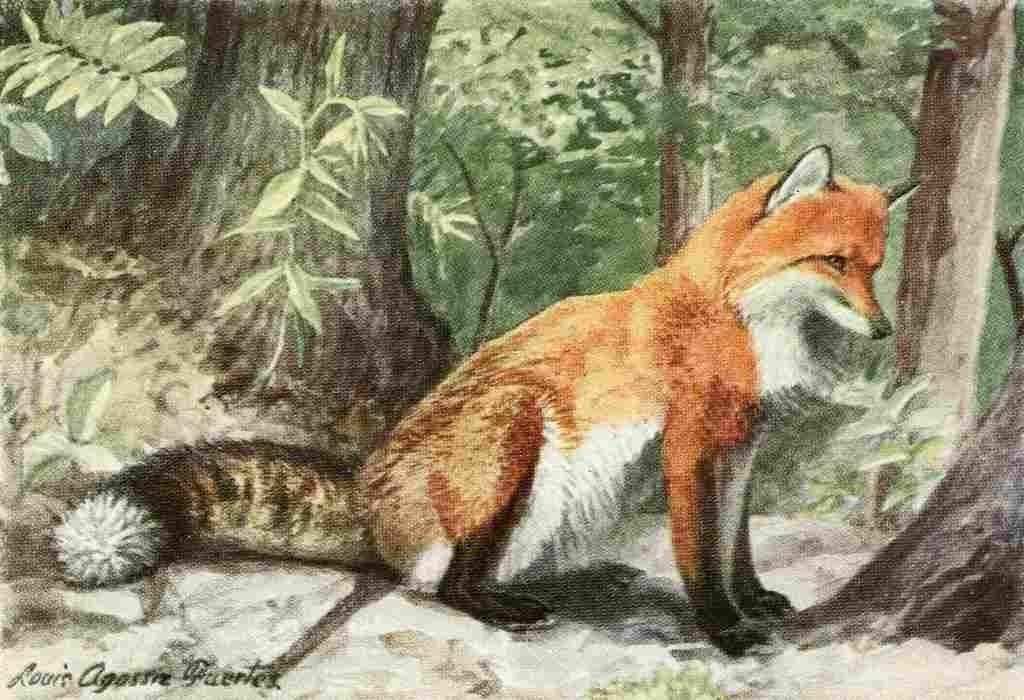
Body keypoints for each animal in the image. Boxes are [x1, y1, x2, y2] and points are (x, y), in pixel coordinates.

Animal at [53, 145, 908, 656]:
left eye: (874, 268)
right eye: (834, 263)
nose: (884, 329)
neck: (737, 319)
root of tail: (368, 494)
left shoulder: (741, 447)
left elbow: (736, 544)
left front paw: (754, 600)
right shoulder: (691, 446)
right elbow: (700, 555)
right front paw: (725, 631)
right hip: (512, 430)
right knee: (442, 586)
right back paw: (504, 610)